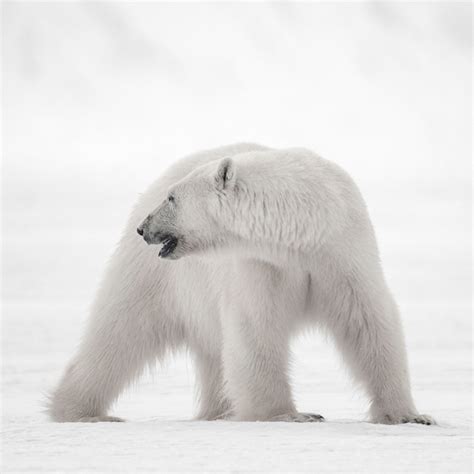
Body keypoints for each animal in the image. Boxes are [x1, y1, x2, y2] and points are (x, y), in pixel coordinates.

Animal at [49, 143, 434, 424]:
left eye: (173, 198)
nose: (144, 228)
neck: (301, 229)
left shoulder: (342, 251)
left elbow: (367, 321)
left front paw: (410, 416)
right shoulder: (261, 264)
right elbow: (255, 328)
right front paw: (290, 414)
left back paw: (218, 412)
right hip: (155, 277)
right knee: (120, 330)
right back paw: (80, 411)